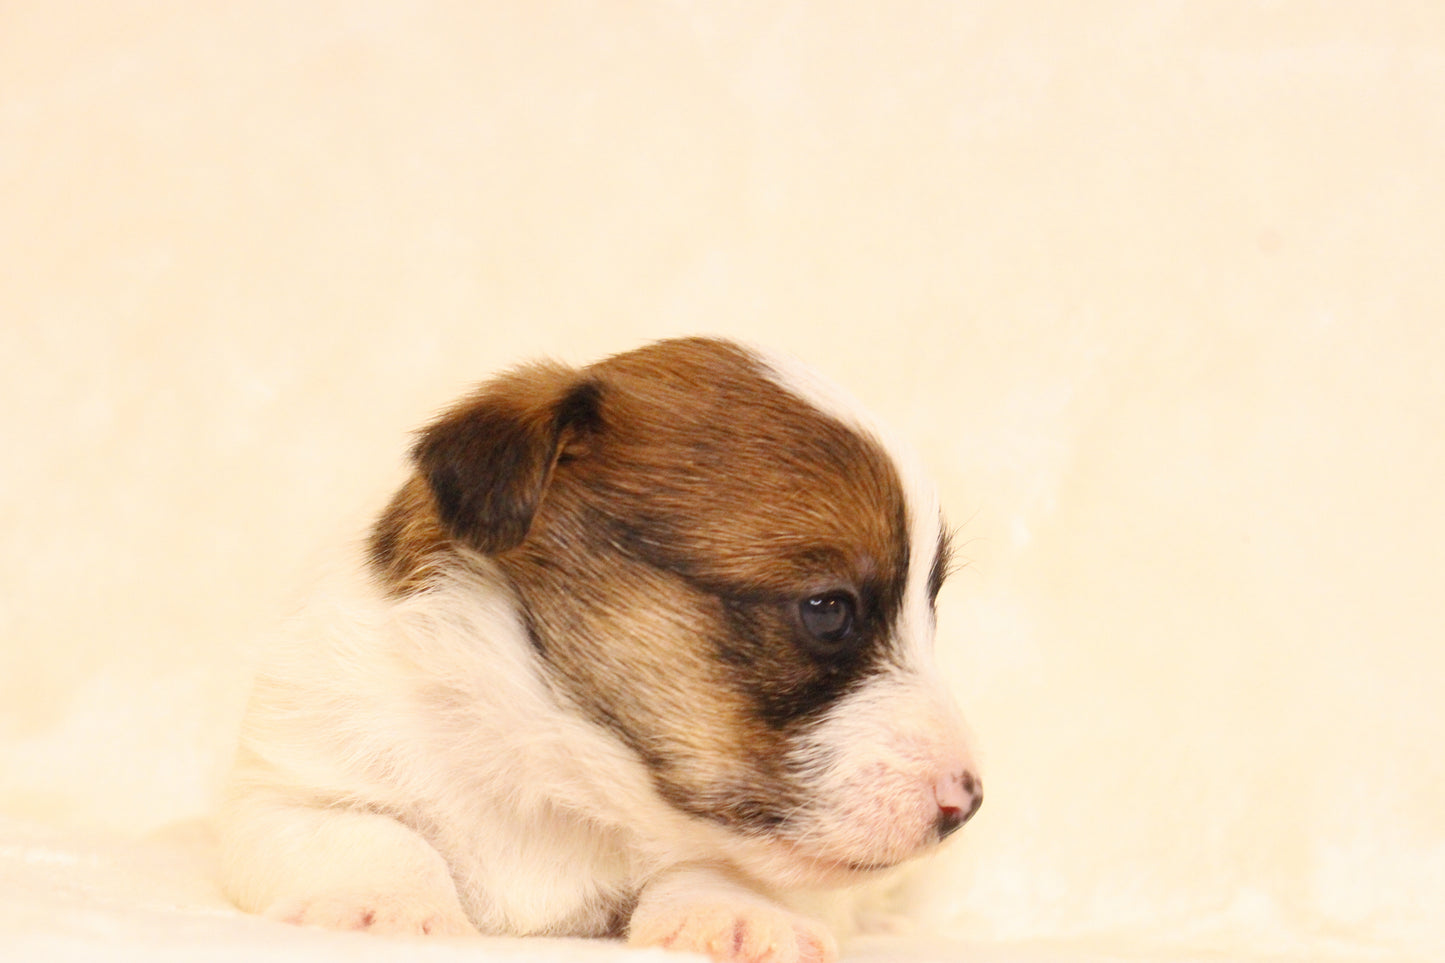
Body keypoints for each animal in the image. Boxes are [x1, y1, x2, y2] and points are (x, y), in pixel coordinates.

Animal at [218, 337, 982, 963]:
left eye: (928, 607)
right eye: (827, 611)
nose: (969, 802)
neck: (551, 768)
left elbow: (714, 864)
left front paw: (738, 916)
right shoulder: (284, 793)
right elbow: (371, 835)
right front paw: (383, 909)